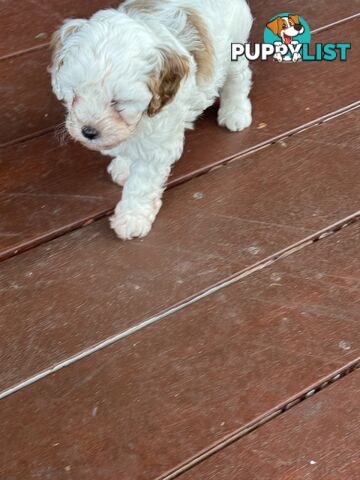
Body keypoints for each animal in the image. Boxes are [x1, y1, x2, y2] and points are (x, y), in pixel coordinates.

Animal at [50, 0, 253, 240]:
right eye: (75, 94)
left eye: (118, 102)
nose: (88, 131)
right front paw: (124, 165)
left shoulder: (158, 146)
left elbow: (141, 184)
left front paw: (132, 218)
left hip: (234, 46)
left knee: (239, 76)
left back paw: (235, 111)